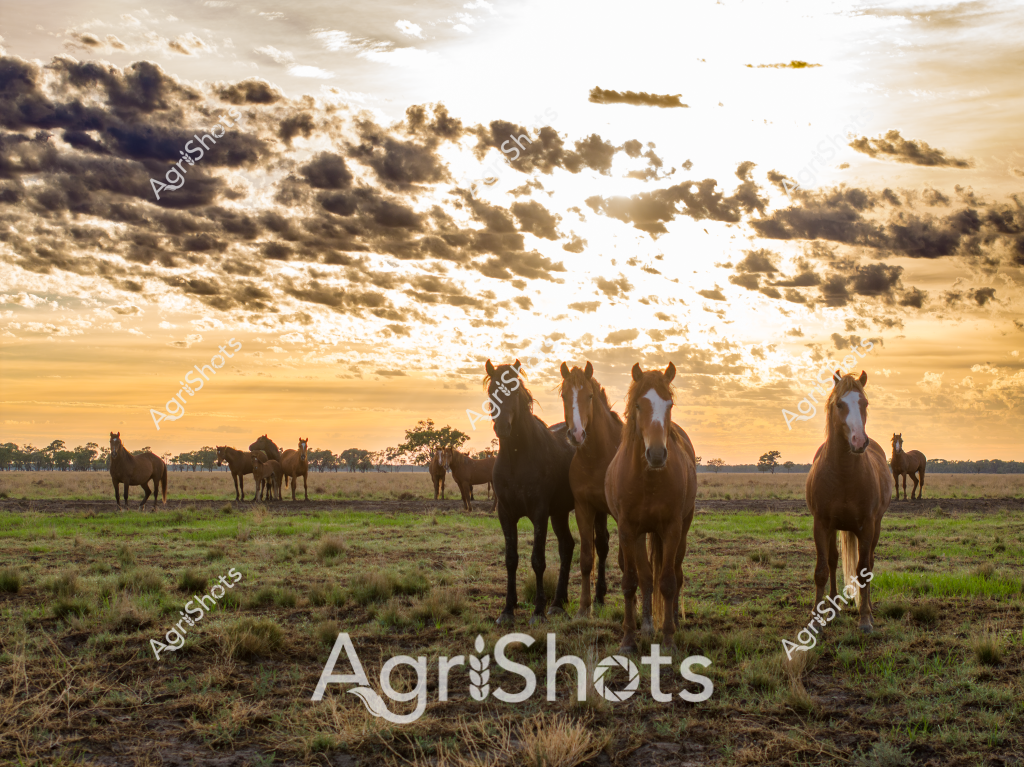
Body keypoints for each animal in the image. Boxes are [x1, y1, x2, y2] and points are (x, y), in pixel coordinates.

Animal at [485, 359, 576, 625]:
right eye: (491, 391)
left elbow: (537, 560)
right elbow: (510, 559)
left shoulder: (539, 514)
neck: (517, 456)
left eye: (514, 392)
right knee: (567, 546)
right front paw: (507, 609)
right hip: (560, 514)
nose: (502, 427)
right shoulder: (506, 514)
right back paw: (558, 602)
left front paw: (537, 611)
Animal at [605, 363, 697, 653]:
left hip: (681, 531)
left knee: (676, 574)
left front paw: (668, 639)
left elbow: (667, 583)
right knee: (646, 578)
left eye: (670, 404)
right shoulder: (627, 530)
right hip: (639, 535)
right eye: (638, 405)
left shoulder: (671, 530)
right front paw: (628, 639)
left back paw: (673, 623)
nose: (656, 454)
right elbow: (631, 582)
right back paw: (645, 627)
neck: (648, 480)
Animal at [806, 371, 892, 633]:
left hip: (875, 527)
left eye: (865, 403)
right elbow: (822, 570)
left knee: (869, 564)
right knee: (834, 561)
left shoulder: (867, 526)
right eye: (839, 404)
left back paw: (870, 608)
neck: (843, 474)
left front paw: (864, 620)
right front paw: (816, 619)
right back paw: (833, 608)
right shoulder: (821, 524)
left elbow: (863, 572)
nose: (858, 441)